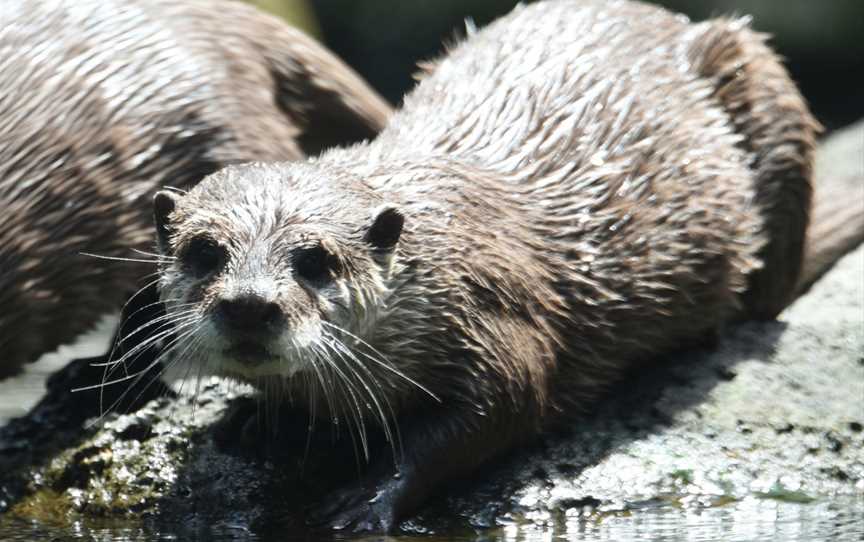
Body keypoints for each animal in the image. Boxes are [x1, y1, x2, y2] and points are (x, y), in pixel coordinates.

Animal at [148, 0, 816, 536]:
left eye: (315, 260)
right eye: (204, 251)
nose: (250, 305)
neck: (434, 262)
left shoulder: (493, 315)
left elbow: (499, 409)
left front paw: (366, 500)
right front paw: (258, 419)